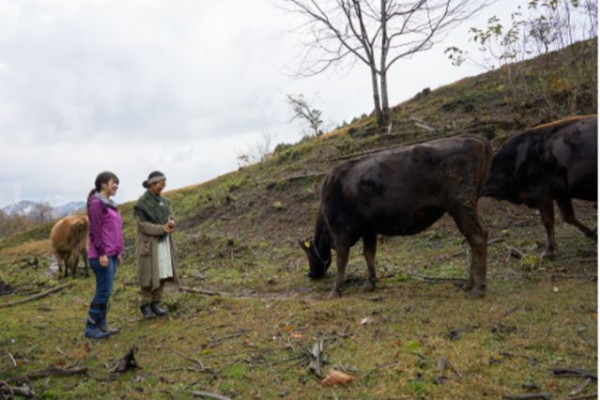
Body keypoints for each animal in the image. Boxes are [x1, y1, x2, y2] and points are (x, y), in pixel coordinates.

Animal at [486, 115, 596, 260]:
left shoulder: (542, 192)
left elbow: (548, 221)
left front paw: (548, 250)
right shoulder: (561, 193)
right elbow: (568, 217)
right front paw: (593, 233)